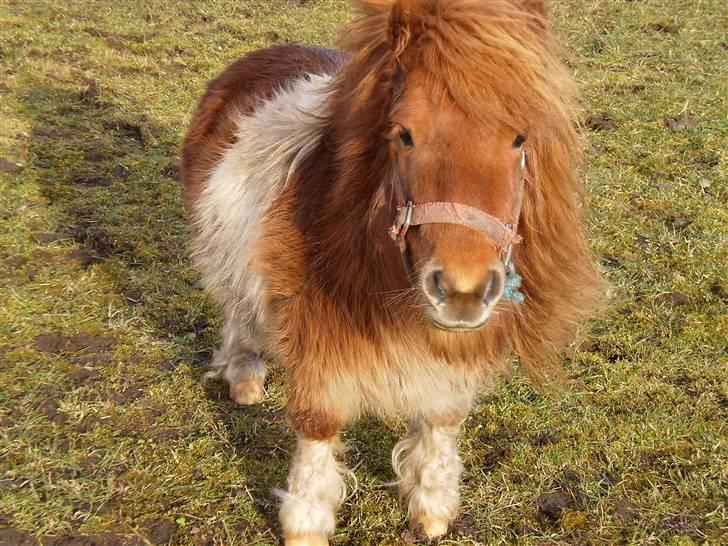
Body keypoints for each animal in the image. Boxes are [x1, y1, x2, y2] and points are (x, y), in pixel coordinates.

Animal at [181, 1, 604, 540]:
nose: (463, 291)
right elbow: (319, 421)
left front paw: (432, 506)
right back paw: (244, 378)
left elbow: (442, 417)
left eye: (519, 138)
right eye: (404, 134)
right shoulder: (318, 338)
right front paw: (306, 522)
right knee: (237, 306)